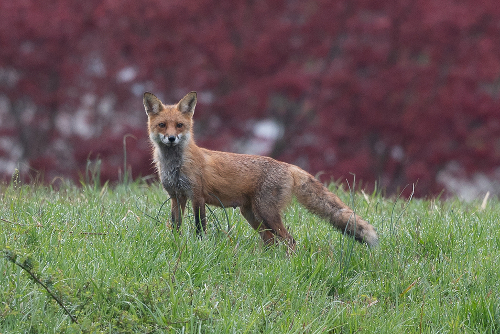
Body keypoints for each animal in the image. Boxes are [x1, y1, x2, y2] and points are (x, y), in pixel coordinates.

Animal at [143, 90, 376, 248]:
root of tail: (289, 166)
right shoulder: (176, 197)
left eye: (179, 126)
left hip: (266, 214)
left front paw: (199, 246)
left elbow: (200, 227)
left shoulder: (197, 196)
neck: (175, 165)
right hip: (252, 215)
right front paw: (174, 243)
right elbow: (175, 225)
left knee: (290, 241)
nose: (171, 138)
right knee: (272, 242)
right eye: (162, 125)